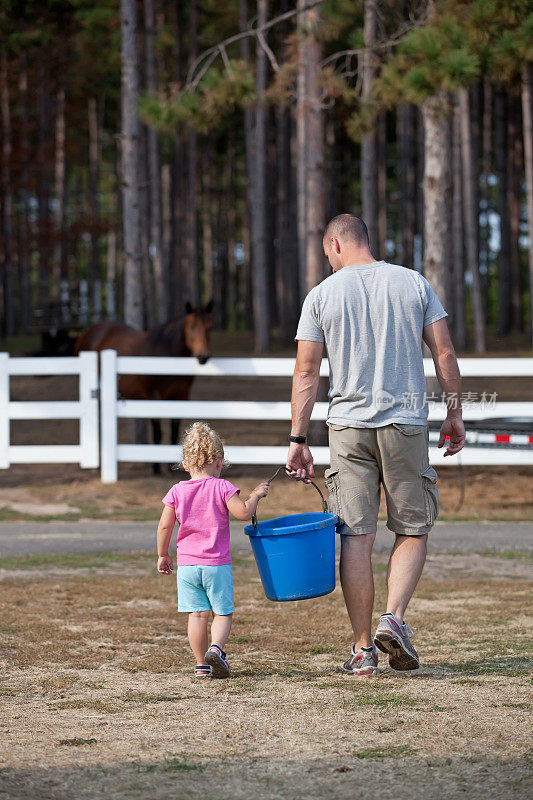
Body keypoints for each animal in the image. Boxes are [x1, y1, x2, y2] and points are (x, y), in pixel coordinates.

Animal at [75, 304, 212, 472]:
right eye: (191, 326)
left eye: (210, 326)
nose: (203, 356)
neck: (165, 352)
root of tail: (88, 332)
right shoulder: (154, 397)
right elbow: (157, 432)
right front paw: (156, 468)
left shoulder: (181, 396)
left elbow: (174, 430)